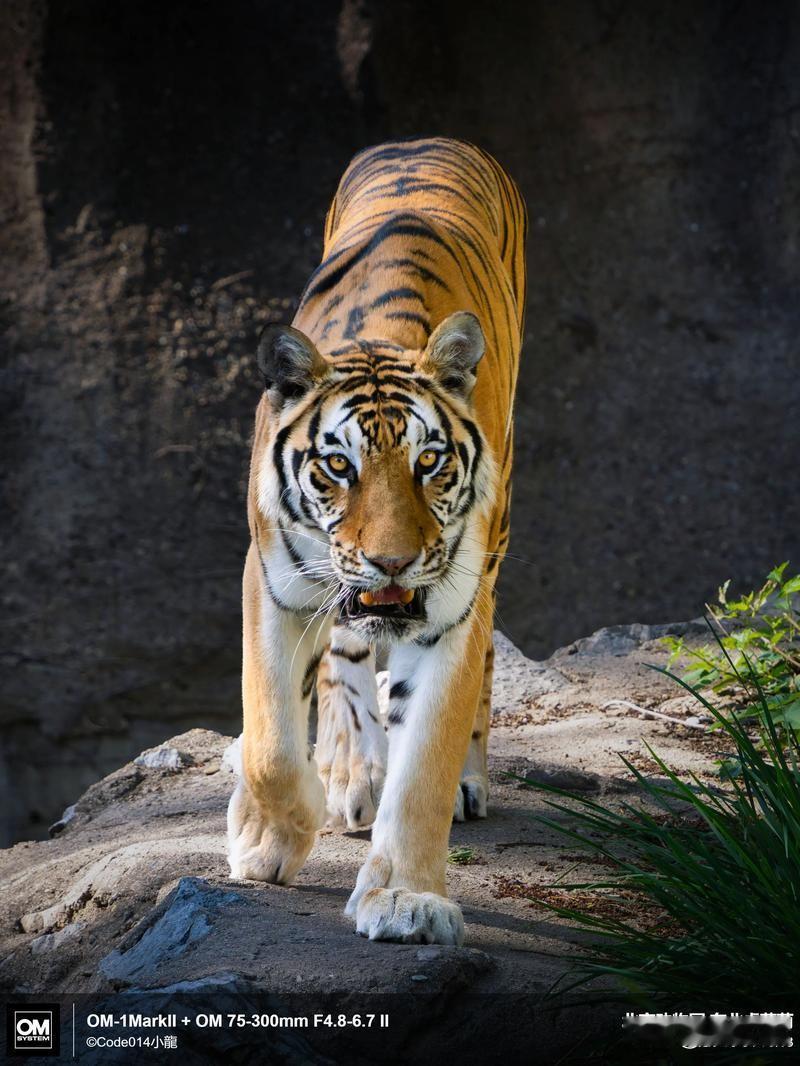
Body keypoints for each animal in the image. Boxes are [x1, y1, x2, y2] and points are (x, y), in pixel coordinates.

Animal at [227, 137, 527, 946]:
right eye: (339, 467)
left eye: (429, 463)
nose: (392, 560)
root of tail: (432, 138)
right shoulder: (273, 580)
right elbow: (271, 740)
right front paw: (269, 836)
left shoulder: (454, 607)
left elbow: (424, 766)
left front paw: (404, 899)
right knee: (341, 658)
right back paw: (346, 771)